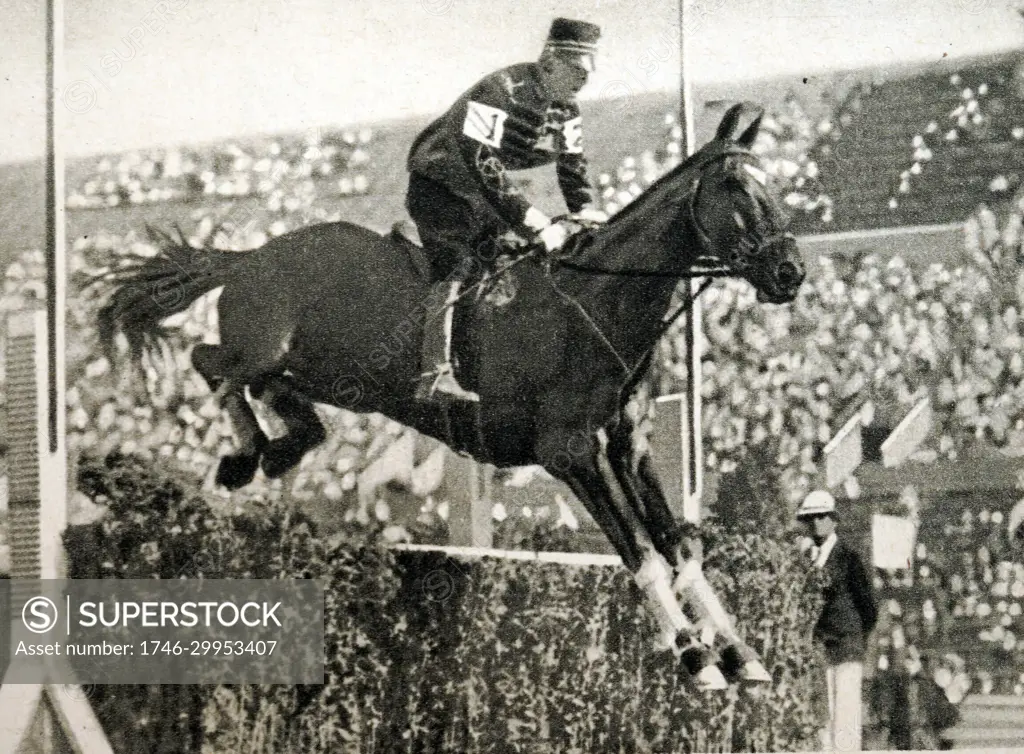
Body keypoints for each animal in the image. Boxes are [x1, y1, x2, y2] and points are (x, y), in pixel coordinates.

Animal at [92, 104, 802, 688]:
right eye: (737, 188)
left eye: (771, 181)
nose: (789, 272)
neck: (596, 306)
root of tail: (246, 256)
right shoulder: (569, 453)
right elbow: (644, 554)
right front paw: (695, 656)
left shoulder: (629, 446)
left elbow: (679, 548)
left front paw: (739, 653)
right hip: (270, 345)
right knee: (212, 362)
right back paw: (246, 456)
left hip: (333, 375)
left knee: (269, 388)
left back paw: (286, 444)